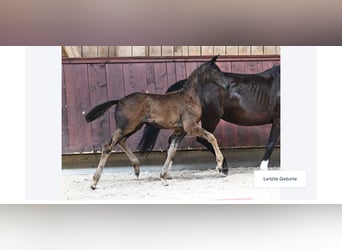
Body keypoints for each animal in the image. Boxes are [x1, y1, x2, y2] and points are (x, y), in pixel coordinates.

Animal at [85, 55, 228, 188]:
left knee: (121, 141)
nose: (227, 86)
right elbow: (211, 137)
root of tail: (119, 100)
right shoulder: (189, 126)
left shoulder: (180, 130)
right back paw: (94, 182)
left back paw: (136, 168)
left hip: (134, 127)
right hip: (126, 126)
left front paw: (163, 177)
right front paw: (219, 165)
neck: (190, 97)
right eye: (216, 71)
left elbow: (171, 151)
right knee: (108, 146)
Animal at [138, 61, 280, 174]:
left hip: (187, 124)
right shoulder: (278, 120)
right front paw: (263, 167)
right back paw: (223, 167)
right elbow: (271, 142)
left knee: (174, 140)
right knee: (204, 139)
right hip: (210, 119)